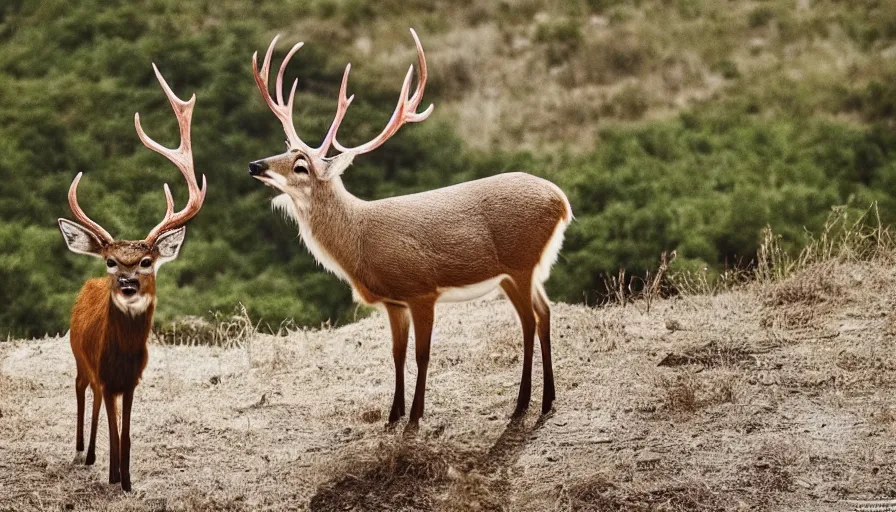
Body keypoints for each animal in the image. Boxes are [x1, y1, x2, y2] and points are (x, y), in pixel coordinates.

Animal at [57, 65, 206, 492]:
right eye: (110, 261)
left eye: (146, 261)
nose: (126, 284)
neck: (122, 357)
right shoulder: (107, 379)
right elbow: (113, 426)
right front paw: (113, 477)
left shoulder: (133, 381)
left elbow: (126, 432)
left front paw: (126, 480)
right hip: (78, 358)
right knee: (81, 391)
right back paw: (82, 452)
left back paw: (92, 455)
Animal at [248, 30, 572, 430]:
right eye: (284, 151)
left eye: (300, 166)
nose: (255, 165)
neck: (358, 242)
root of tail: (562, 202)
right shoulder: (393, 301)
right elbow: (396, 354)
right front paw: (393, 415)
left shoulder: (421, 289)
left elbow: (422, 354)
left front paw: (415, 417)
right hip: (518, 272)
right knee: (544, 313)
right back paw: (546, 401)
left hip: (521, 262)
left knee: (530, 319)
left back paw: (523, 405)